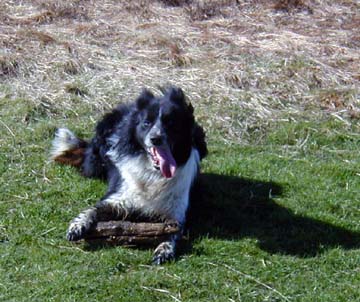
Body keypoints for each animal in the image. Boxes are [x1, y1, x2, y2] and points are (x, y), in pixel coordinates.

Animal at [51, 86, 208, 264]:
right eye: (146, 123)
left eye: (171, 123)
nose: (156, 139)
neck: (153, 174)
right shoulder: (118, 197)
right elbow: (92, 209)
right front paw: (77, 225)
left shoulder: (177, 212)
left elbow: (173, 231)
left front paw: (164, 249)